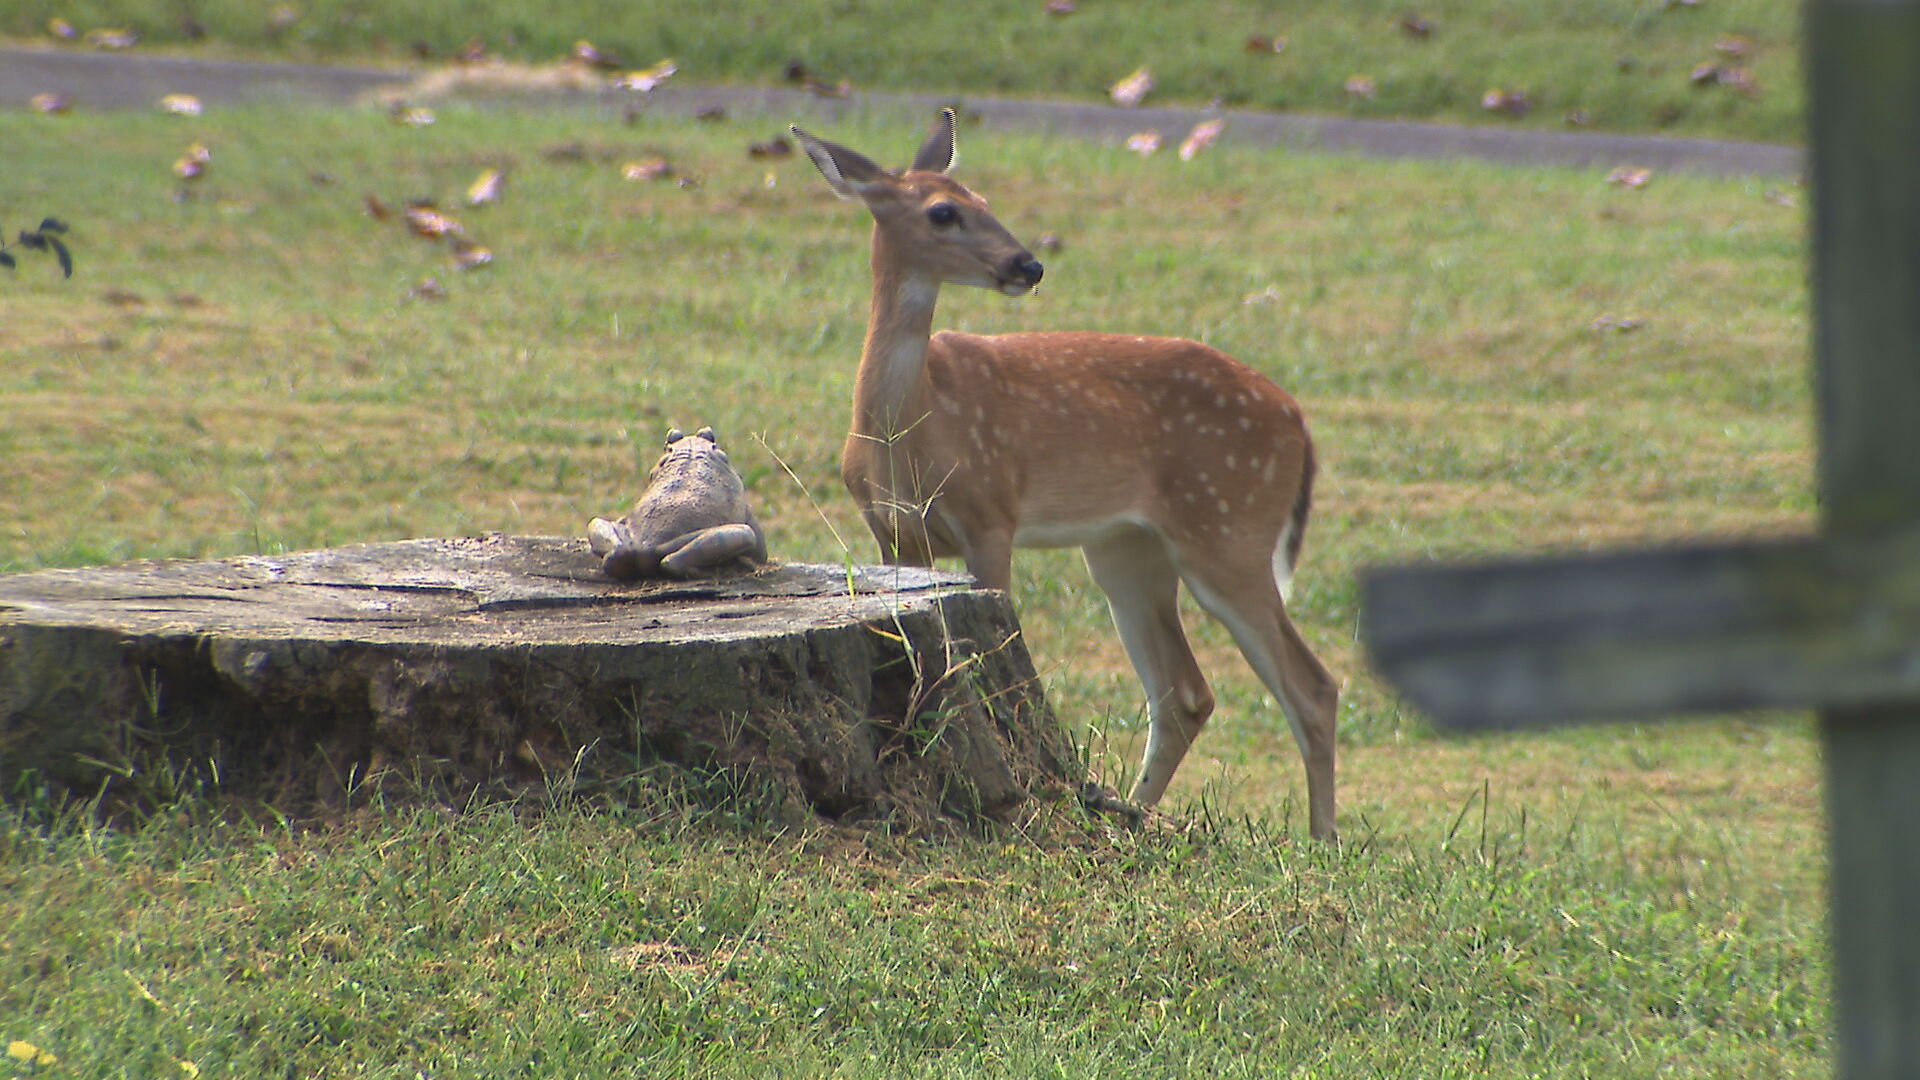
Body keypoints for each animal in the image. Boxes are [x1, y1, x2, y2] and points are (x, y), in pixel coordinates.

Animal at [791, 110, 1339, 841]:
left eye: (984, 199)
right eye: (944, 212)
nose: (1028, 264)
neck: (907, 430)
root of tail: (1299, 421)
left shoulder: (993, 511)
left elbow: (992, 660)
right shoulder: (892, 534)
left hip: (1229, 528)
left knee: (1311, 687)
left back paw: (1323, 841)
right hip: (1125, 549)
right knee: (1186, 692)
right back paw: (1131, 811)